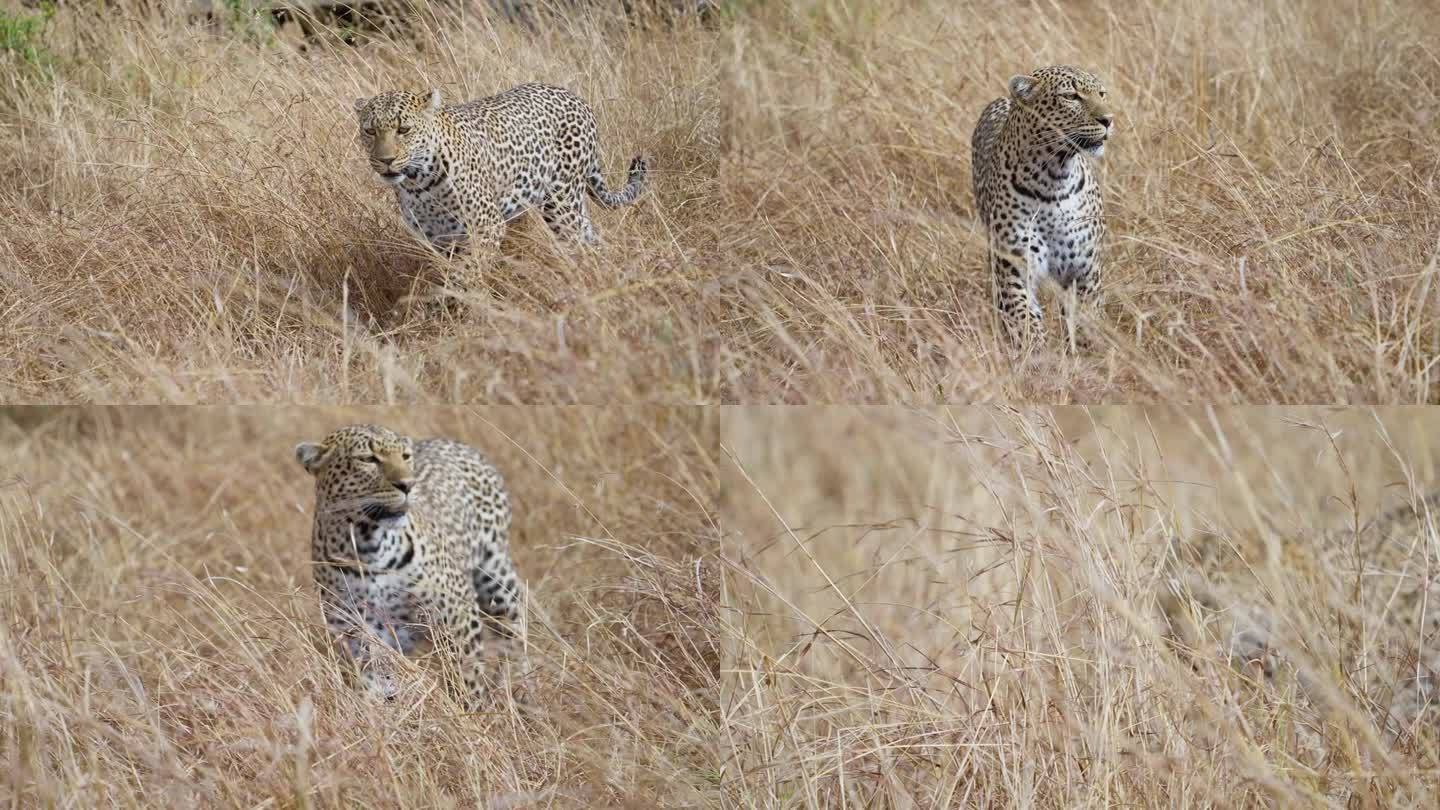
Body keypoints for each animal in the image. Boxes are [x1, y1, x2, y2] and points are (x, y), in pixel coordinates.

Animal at [292, 417, 524, 703]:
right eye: (368, 459)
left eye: (405, 456)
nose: (407, 485)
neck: (369, 547)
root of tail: (453, 442)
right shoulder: (358, 635)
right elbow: (372, 685)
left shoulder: (457, 618)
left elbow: (467, 676)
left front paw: (473, 709)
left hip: (496, 579)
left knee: (514, 636)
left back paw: (519, 689)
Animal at [354, 82, 648, 302]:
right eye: (370, 131)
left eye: (403, 129)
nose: (385, 160)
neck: (419, 184)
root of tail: (577, 98)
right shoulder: (438, 240)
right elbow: (451, 272)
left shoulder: (486, 226)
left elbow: (466, 272)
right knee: (593, 240)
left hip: (562, 204)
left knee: (579, 244)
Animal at [967, 66, 1111, 350]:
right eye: (1071, 96)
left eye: (1101, 93)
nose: (1108, 120)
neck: (1053, 177)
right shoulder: (1013, 268)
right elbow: (1024, 320)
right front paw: (1038, 355)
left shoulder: (1085, 272)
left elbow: (1085, 319)